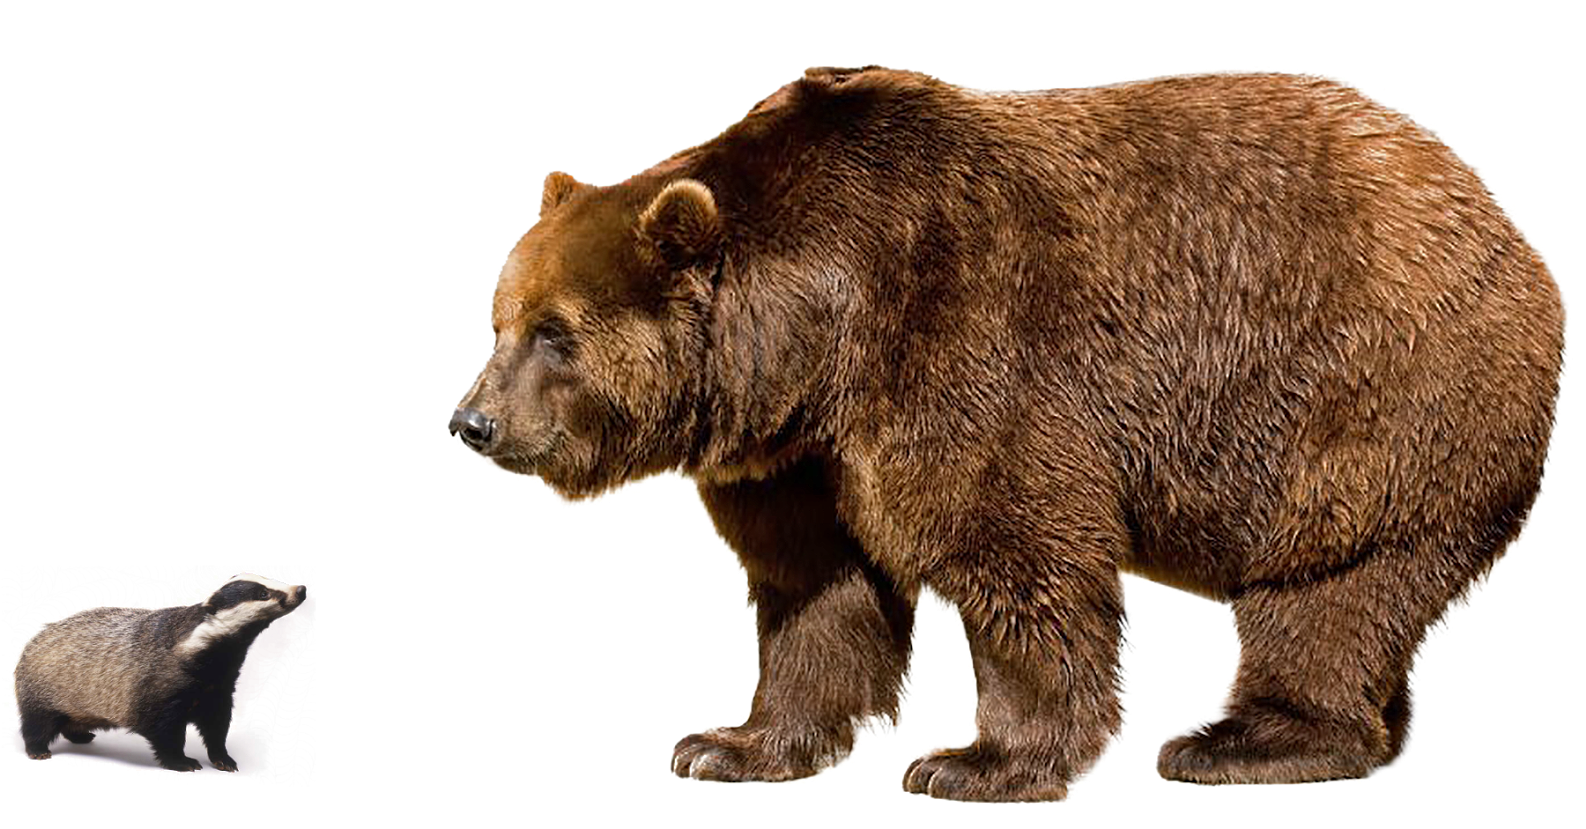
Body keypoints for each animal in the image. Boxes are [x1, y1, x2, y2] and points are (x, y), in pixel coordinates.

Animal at [448, 66, 1567, 802]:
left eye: (556, 332)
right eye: (501, 319)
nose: (473, 423)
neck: (817, 333)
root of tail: (1511, 233)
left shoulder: (964, 347)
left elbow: (1011, 552)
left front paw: (975, 759)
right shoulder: (799, 455)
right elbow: (815, 591)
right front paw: (731, 743)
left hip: (1370, 396)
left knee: (1327, 584)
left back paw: (1242, 739)